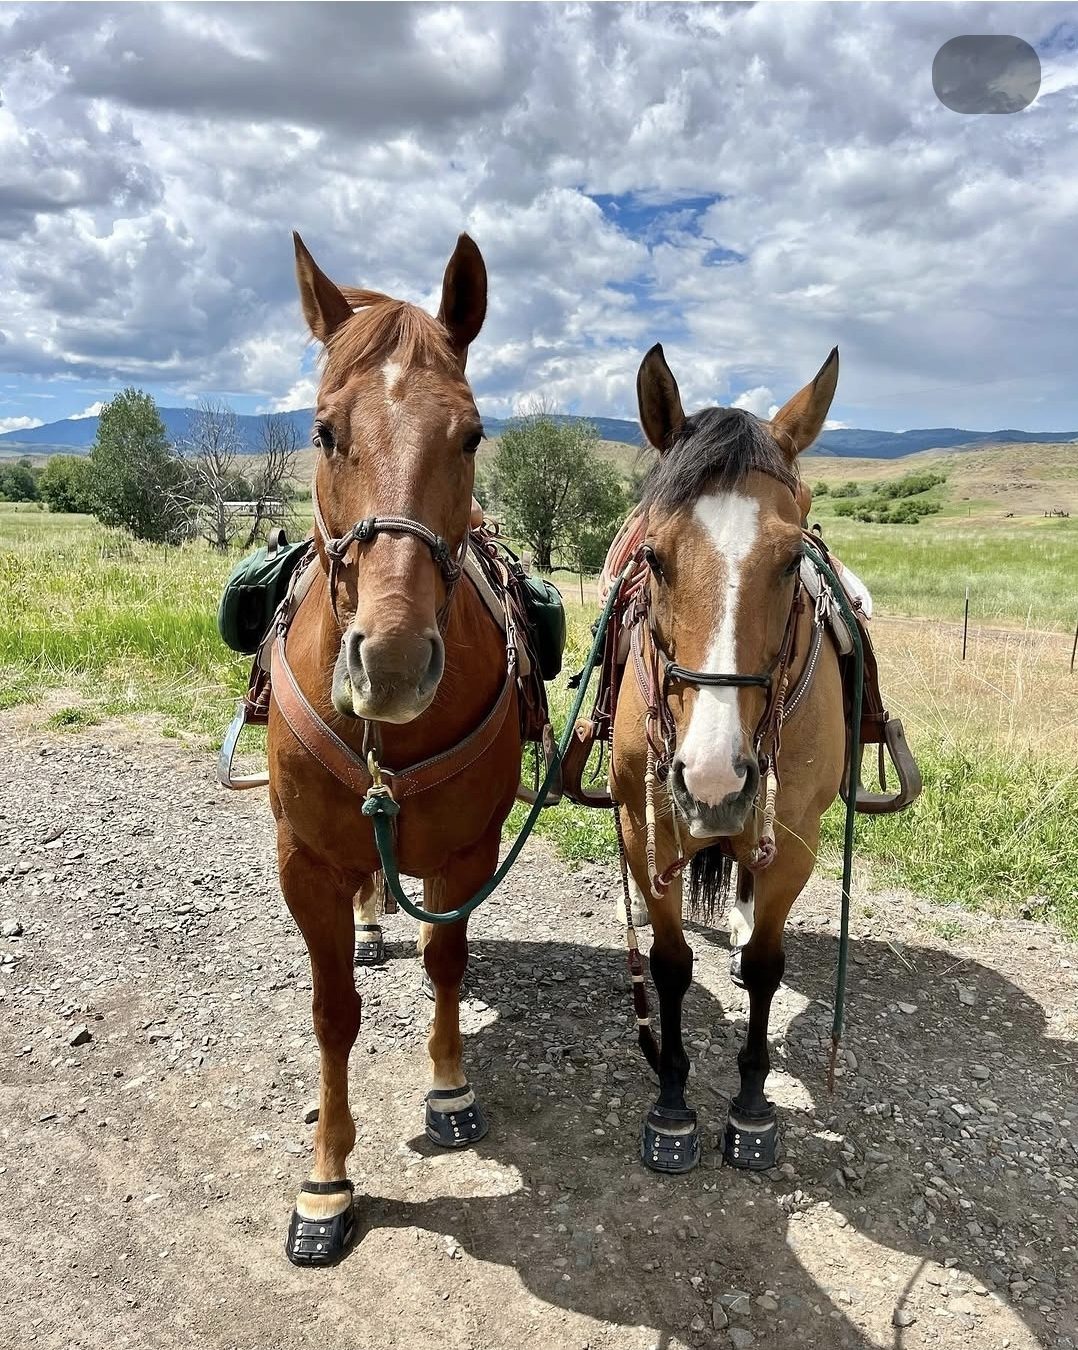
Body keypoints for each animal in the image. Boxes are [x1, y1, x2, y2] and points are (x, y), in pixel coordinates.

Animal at [609, 342, 847, 1173]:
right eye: (653, 556)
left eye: (791, 559)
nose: (713, 777)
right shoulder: (645, 829)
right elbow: (672, 965)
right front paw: (672, 1101)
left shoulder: (796, 841)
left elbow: (770, 968)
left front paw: (750, 1104)